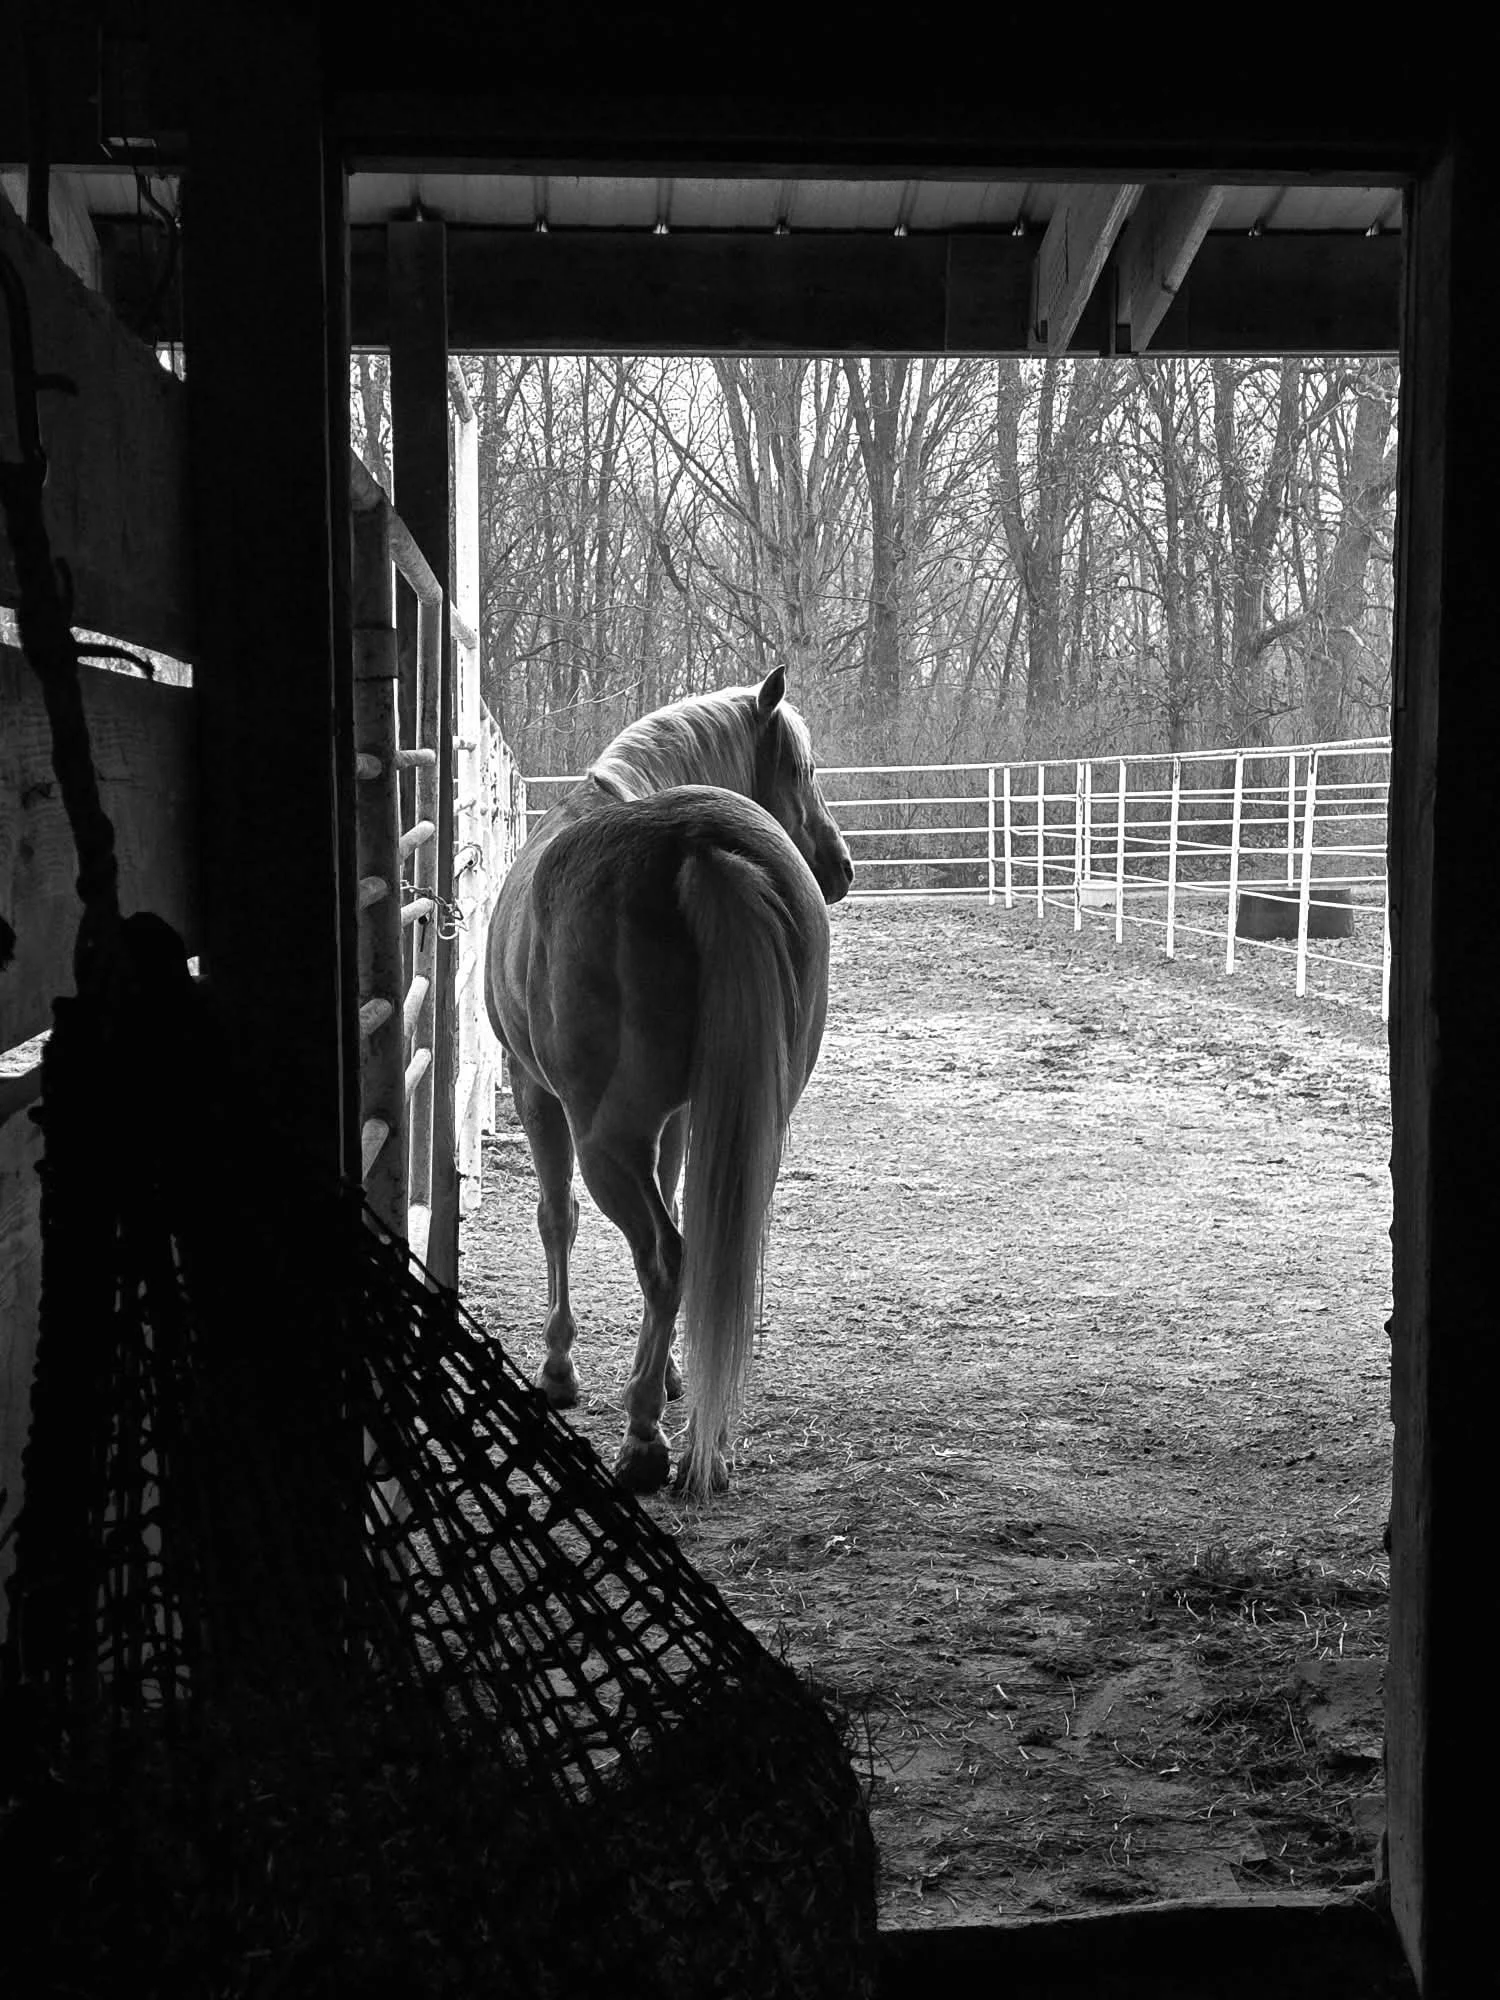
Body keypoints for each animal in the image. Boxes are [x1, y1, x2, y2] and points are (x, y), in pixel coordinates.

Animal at [484, 667, 853, 1498]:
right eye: (803, 769)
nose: (843, 868)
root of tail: (701, 849)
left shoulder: (534, 1093)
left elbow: (557, 1218)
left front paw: (559, 1368)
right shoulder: (683, 1115)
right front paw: (677, 1370)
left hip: (604, 1137)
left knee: (665, 1256)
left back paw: (644, 1436)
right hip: (750, 1125)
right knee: (710, 1250)